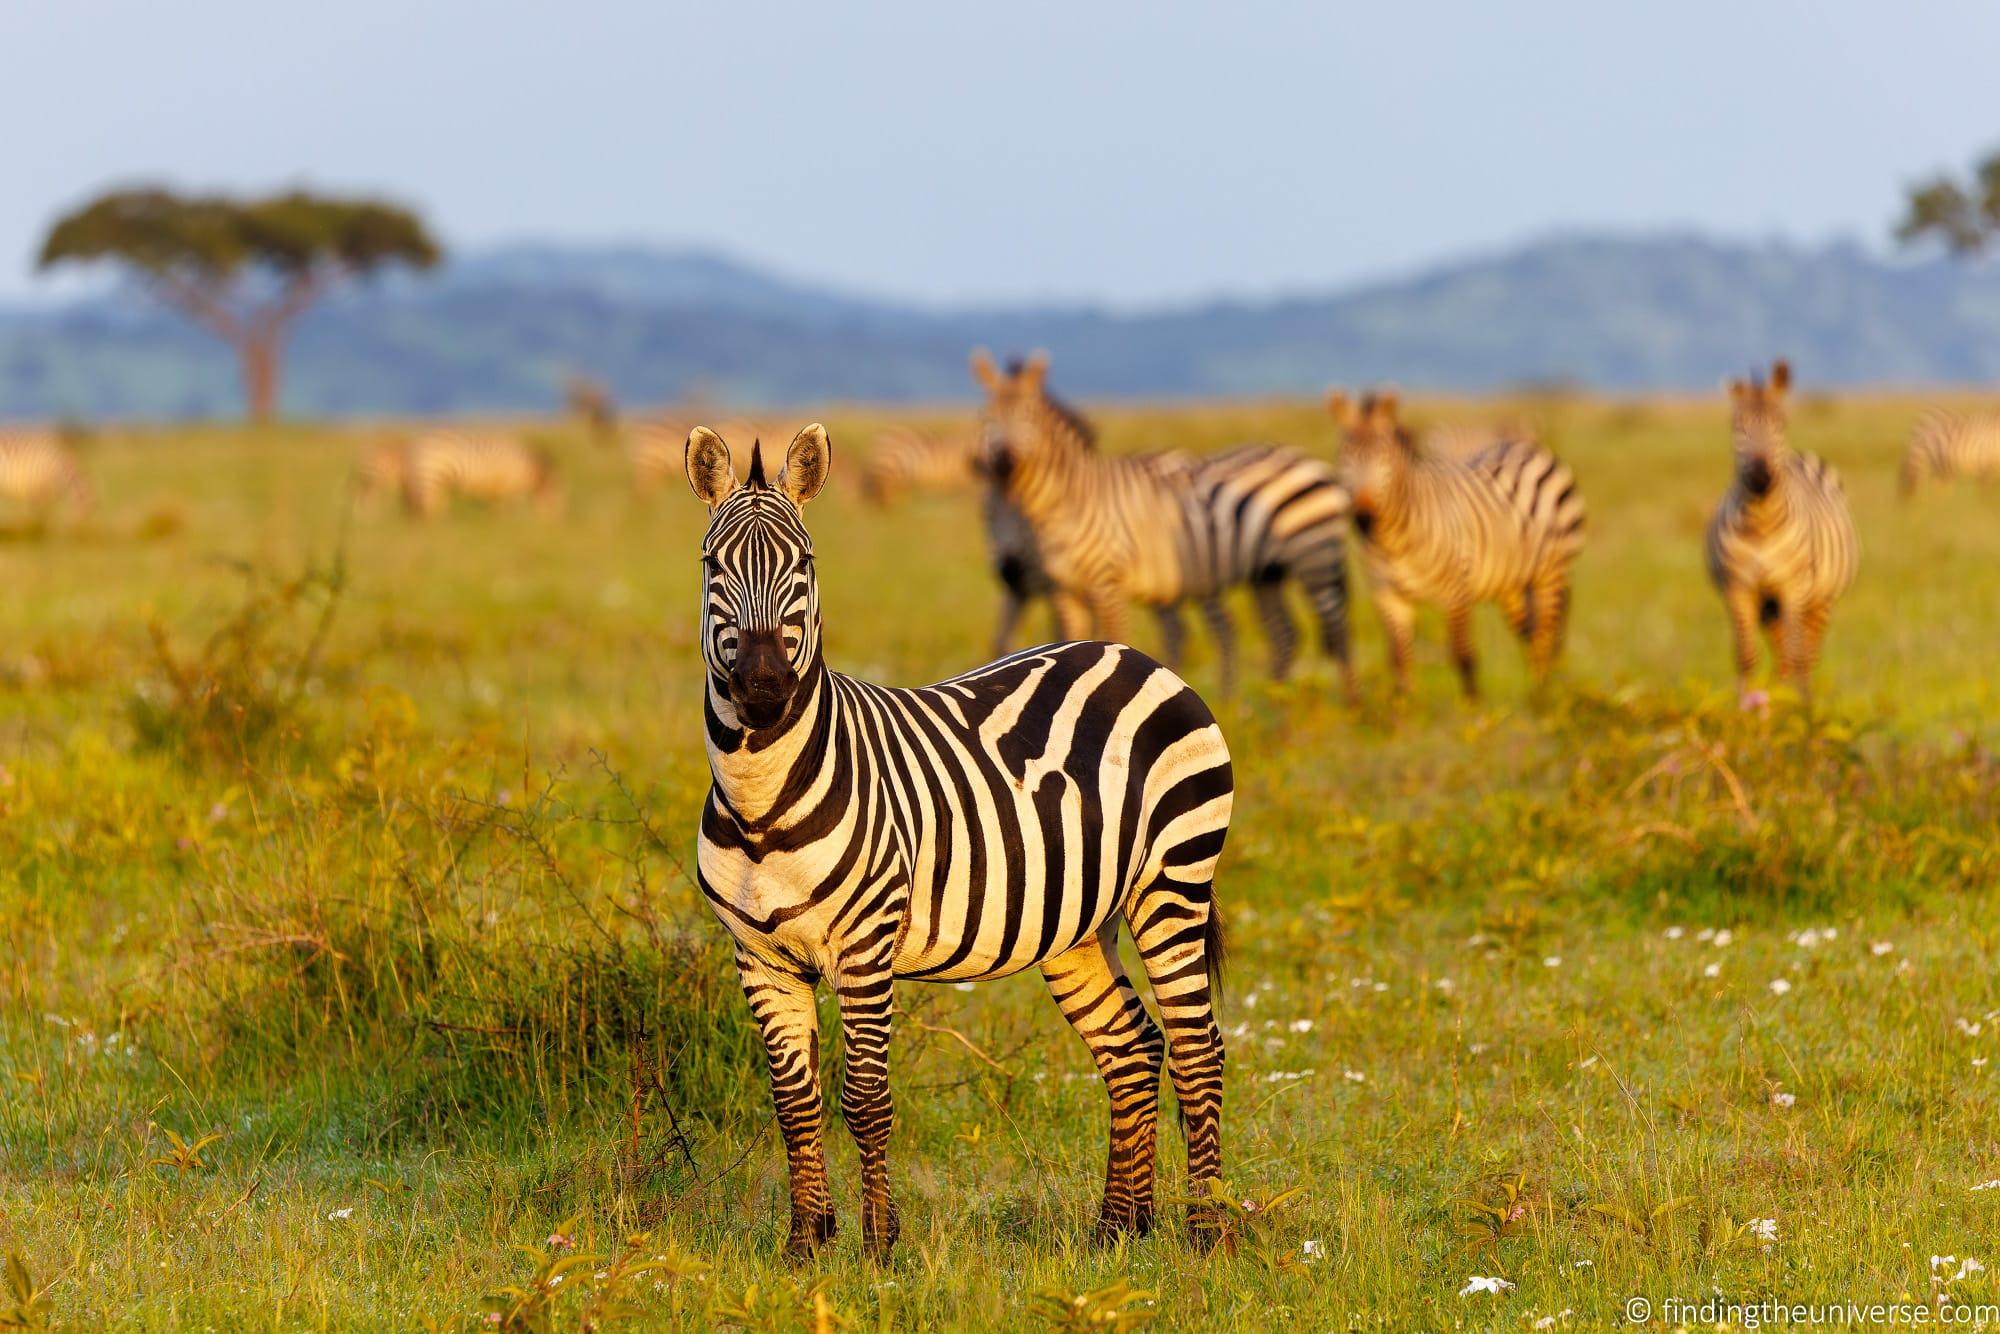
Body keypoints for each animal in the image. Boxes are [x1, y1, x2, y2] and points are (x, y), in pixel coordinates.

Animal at [398, 430, 559, 519]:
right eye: (560, 501)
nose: (554, 530)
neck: (529, 468)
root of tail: (414, 446)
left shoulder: (497, 486)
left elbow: (495, 506)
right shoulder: (508, 483)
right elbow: (507, 506)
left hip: (428, 480)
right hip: (432, 475)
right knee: (431, 507)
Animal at [683, 423, 1234, 1259]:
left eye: (805, 563)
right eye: (713, 564)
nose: (766, 689)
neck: (761, 803)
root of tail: (1131, 655)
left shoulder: (865, 945)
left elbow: (865, 1099)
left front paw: (879, 1246)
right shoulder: (759, 957)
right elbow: (793, 1102)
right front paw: (806, 1243)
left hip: (1173, 880)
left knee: (1199, 1047)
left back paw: (1206, 1234)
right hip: (1078, 922)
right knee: (1132, 1045)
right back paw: (1119, 1227)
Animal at [972, 350, 1355, 699]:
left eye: (1028, 417)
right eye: (987, 417)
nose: (1004, 461)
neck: (1066, 503)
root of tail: (1303, 458)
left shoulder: (1107, 582)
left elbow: (1114, 639)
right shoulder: (1064, 589)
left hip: (1314, 556)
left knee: (1336, 629)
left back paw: (1348, 705)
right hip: (1266, 573)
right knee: (1282, 634)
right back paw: (1276, 700)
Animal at [1328, 390, 1586, 699]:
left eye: (1384, 461)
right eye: (1344, 459)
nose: (1363, 518)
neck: (1393, 542)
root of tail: (1529, 447)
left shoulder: (1456, 593)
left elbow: (1463, 655)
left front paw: (1472, 706)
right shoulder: (1387, 595)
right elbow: (1399, 658)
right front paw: (1407, 707)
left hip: (1551, 572)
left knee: (1544, 636)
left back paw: (1542, 697)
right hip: (1510, 582)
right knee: (1528, 631)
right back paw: (1537, 693)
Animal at [1705, 360, 1858, 705]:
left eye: (1781, 424)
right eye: (1737, 426)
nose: (1761, 477)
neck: (1760, 525)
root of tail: (1799, 455)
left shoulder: (1794, 587)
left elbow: (1799, 654)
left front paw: (1800, 709)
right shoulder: (1739, 588)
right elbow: (1746, 656)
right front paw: (1745, 707)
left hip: (1819, 600)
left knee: (1807, 653)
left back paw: (1803, 699)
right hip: (1769, 604)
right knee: (1782, 652)